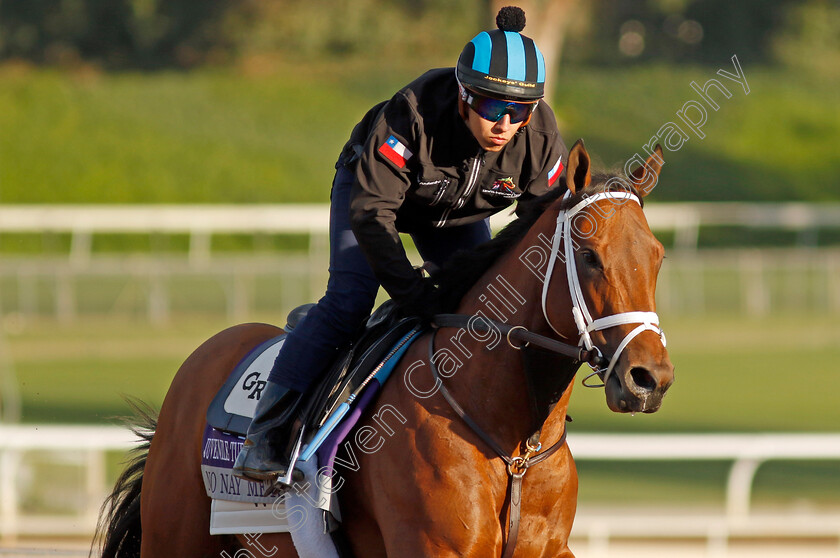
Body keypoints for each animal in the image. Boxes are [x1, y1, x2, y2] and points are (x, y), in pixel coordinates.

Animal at [97, 141, 676, 558]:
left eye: (658, 255)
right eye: (589, 254)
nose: (650, 379)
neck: (513, 444)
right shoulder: (434, 550)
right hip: (173, 539)